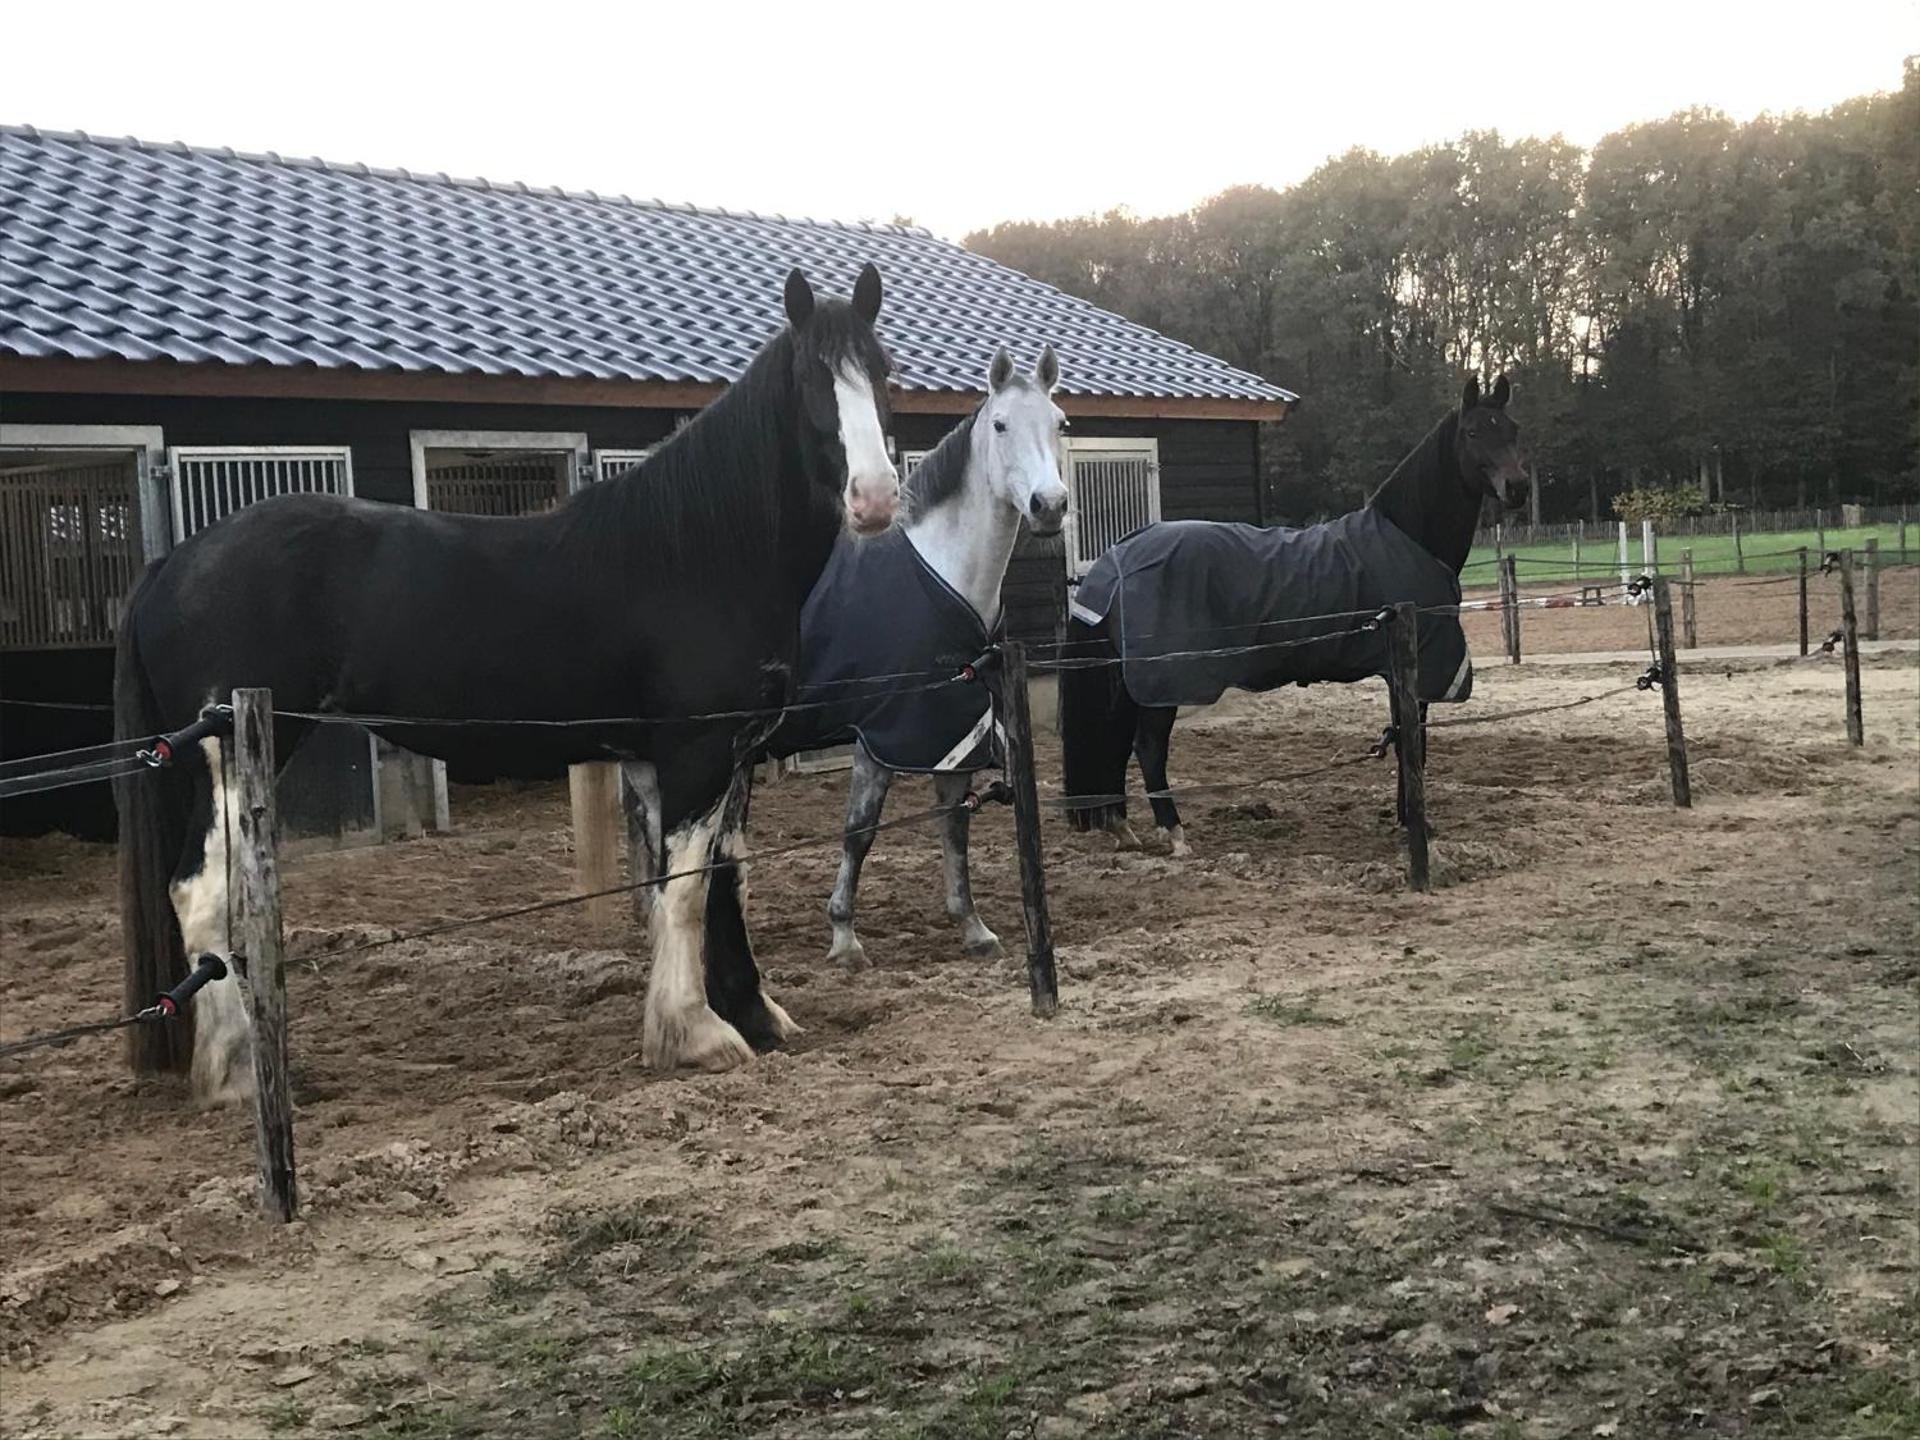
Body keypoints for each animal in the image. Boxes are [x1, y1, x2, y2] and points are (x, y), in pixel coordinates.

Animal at [115, 265, 901, 1104]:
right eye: (812, 380)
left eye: (882, 371)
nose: (876, 499)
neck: (701, 551)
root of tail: (173, 562)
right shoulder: (696, 751)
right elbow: (688, 892)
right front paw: (697, 1035)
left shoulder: (712, 757)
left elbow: (718, 882)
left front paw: (751, 1016)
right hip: (233, 757)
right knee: (201, 894)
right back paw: (236, 1073)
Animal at [1058, 375, 1525, 853]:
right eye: (1473, 432)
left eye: (1512, 430)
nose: (1518, 488)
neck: (1410, 537)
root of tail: (1118, 555)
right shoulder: (1412, 670)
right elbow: (1413, 742)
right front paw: (1417, 823)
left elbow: (1402, 736)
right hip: (1164, 680)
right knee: (1149, 747)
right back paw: (1175, 834)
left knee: (1116, 741)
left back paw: (1122, 827)